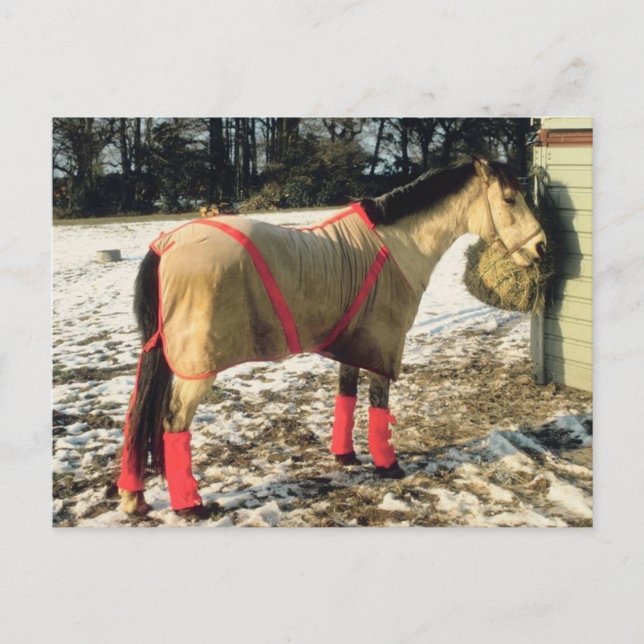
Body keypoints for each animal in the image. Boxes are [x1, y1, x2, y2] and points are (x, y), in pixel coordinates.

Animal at [116, 156, 547, 516]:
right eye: (510, 199)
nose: (541, 247)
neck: (397, 244)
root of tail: (168, 243)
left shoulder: (354, 346)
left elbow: (346, 397)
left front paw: (345, 457)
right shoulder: (385, 345)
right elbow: (378, 406)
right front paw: (388, 465)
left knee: (137, 416)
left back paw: (133, 499)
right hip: (198, 366)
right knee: (173, 421)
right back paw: (190, 506)